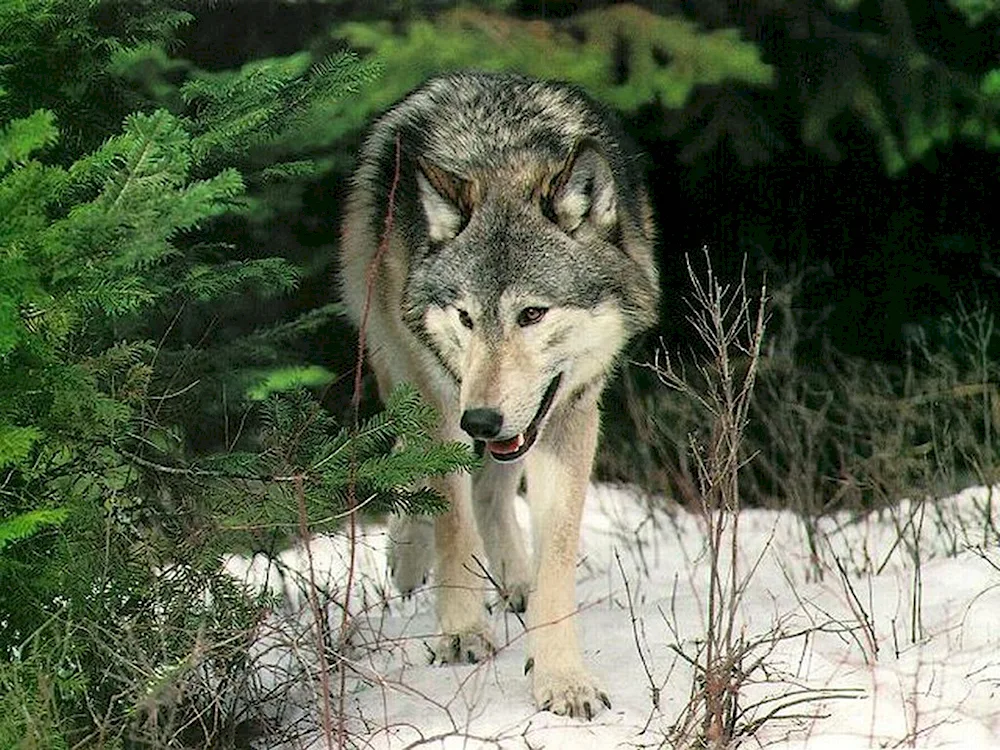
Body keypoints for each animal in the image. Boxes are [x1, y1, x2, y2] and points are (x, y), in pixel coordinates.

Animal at [340, 72, 660, 724]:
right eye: (465, 316)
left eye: (532, 314)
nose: (481, 421)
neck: (505, 156)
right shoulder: (444, 406)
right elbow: (452, 522)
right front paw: (461, 630)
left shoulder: (569, 415)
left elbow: (555, 553)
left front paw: (562, 676)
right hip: (397, 358)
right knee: (415, 464)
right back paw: (409, 557)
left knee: (491, 490)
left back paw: (515, 579)